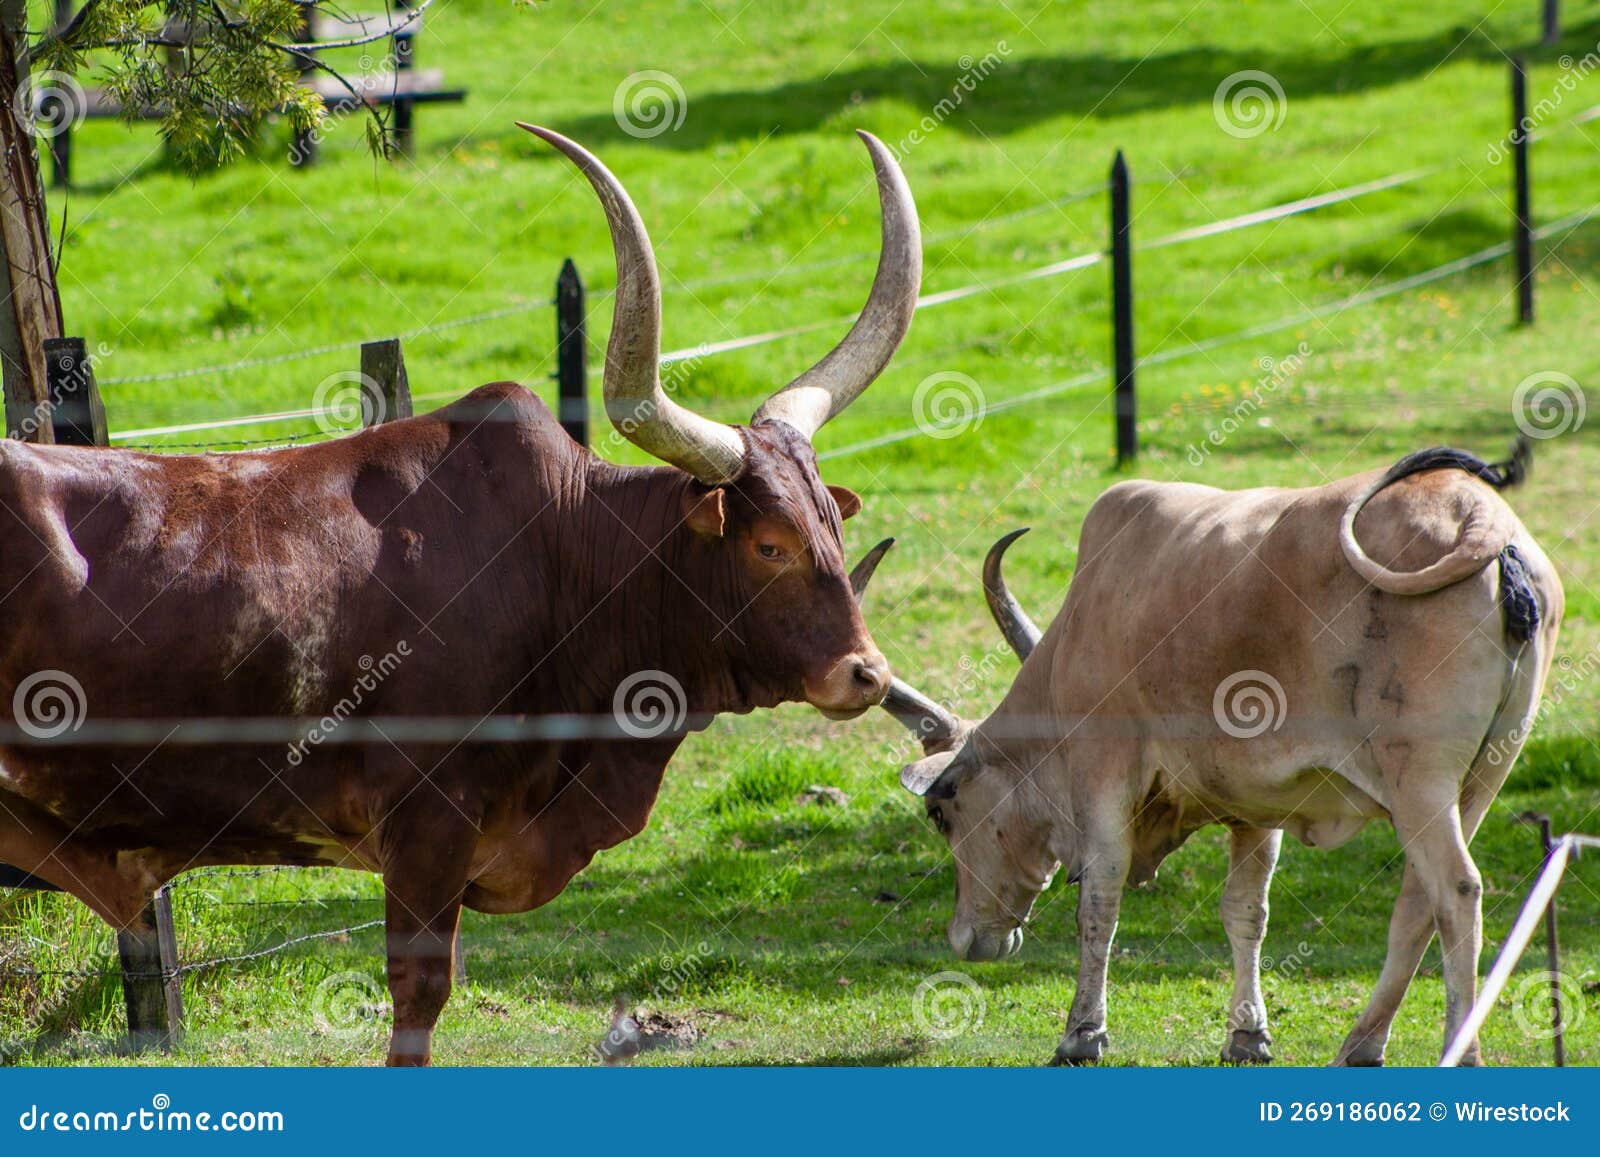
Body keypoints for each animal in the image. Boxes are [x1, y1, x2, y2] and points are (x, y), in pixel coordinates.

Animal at [0, 124, 921, 1065]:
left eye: (831, 524)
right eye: (769, 545)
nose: (867, 673)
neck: (558, 559)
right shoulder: (427, 827)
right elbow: (420, 994)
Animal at [870, 445, 1562, 1066]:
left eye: (941, 814)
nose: (966, 938)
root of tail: (1481, 518)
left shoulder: (1105, 773)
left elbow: (1100, 900)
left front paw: (1081, 1034)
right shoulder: (1259, 804)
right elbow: (1245, 912)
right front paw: (1247, 1034)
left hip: (1418, 780)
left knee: (1457, 890)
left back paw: (1458, 1052)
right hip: (1478, 781)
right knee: (1418, 903)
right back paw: (1361, 1045)